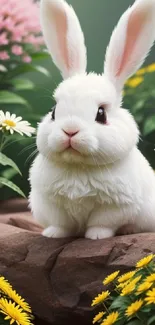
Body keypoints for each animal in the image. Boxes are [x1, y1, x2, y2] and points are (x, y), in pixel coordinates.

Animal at [29, 0, 155, 238]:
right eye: (53, 111)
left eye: (101, 114)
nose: (70, 130)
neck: (79, 167)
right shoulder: (52, 204)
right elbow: (61, 223)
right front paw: (53, 234)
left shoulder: (115, 206)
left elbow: (102, 222)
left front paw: (96, 236)